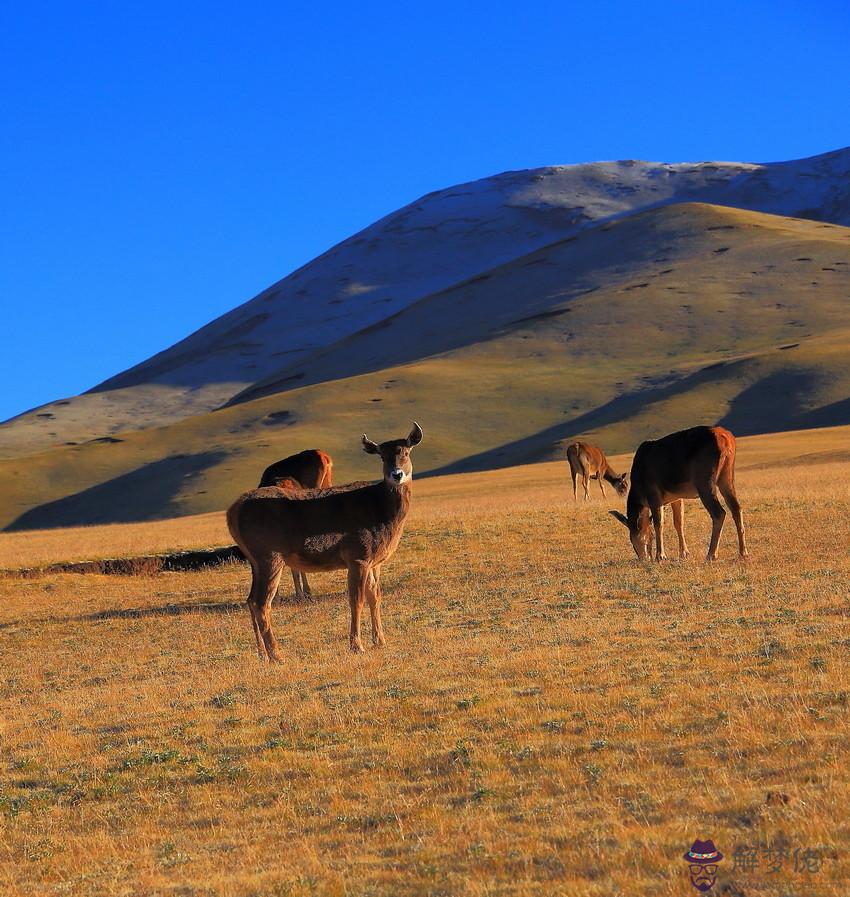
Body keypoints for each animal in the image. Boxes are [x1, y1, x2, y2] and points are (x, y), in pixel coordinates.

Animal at [608, 426, 744, 560]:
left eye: (632, 539)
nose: (644, 558)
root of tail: (726, 440)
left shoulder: (654, 495)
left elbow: (658, 523)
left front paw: (660, 555)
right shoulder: (676, 497)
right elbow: (678, 522)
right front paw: (684, 553)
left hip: (705, 482)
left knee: (719, 513)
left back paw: (711, 554)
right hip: (727, 477)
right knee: (736, 508)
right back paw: (743, 552)